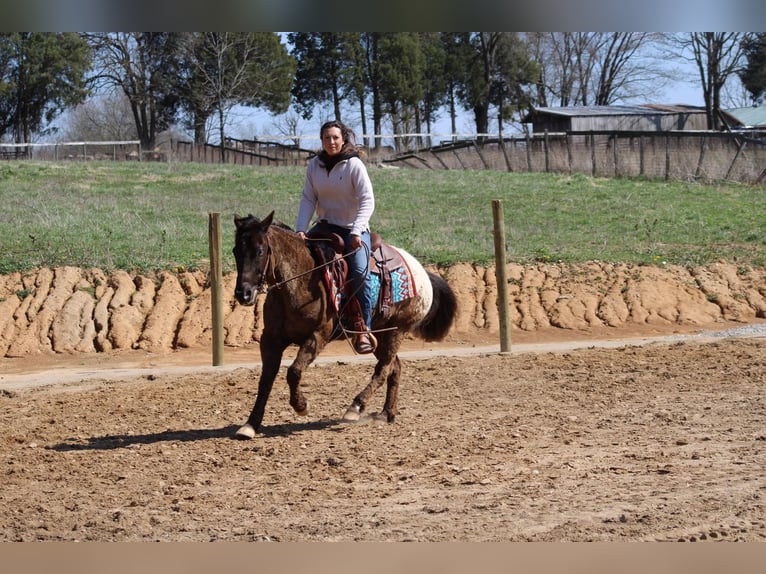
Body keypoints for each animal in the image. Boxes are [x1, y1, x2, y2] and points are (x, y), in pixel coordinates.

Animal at [231, 213, 460, 440]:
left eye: (260, 251)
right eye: (235, 250)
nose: (244, 294)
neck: (299, 282)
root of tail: (421, 270)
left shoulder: (318, 336)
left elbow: (294, 372)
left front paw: (301, 406)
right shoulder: (270, 339)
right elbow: (266, 380)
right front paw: (250, 424)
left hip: (398, 330)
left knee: (383, 369)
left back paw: (356, 407)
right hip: (381, 336)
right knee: (395, 367)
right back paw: (386, 413)